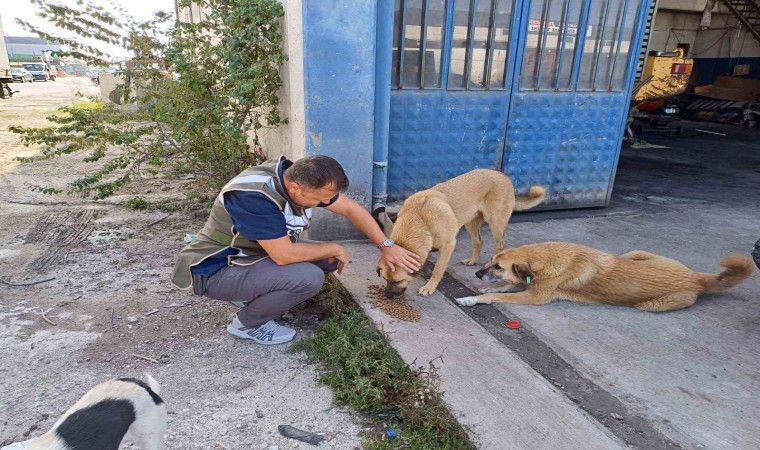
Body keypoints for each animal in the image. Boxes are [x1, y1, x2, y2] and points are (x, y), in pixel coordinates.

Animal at [377, 169, 546, 297]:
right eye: (385, 279)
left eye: (398, 281)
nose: (388, 296)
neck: (419, 218)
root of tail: (503, 175)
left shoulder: (448, 245)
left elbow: (438, 270)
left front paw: (429, 287)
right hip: (470, 221)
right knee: (478, 241)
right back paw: (472, 260)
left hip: (495, 222)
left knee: (499, 244)